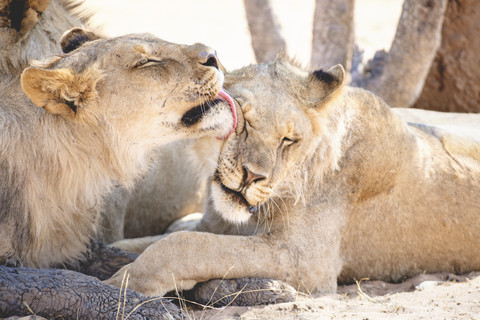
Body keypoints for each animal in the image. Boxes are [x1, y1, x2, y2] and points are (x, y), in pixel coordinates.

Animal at [0, 25, 236, 318]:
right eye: (145, 62)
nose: (214, 54)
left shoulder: (75, 246)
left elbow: (129, 256)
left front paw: (238, 282)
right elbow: (60, 281)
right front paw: (148, 308)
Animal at [108, 56, 480, 298]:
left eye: (288, 140)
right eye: (243, 120)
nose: (252, 177)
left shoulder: (305, 260)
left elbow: (186, 245)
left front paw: (124, 282)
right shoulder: (212, 223)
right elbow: (147, 240)